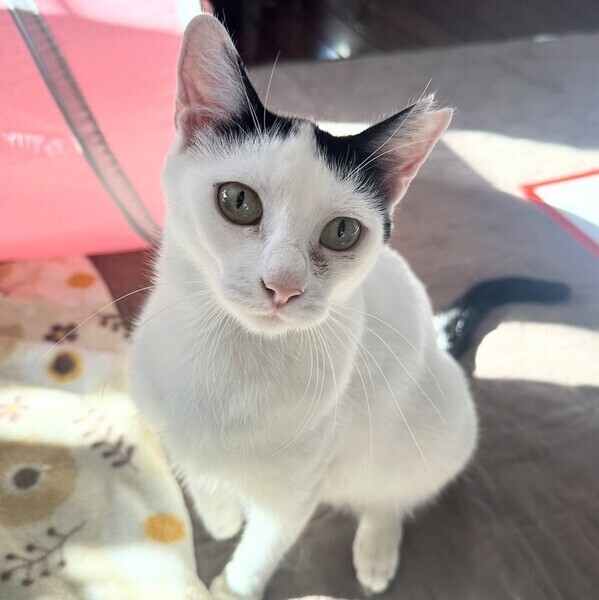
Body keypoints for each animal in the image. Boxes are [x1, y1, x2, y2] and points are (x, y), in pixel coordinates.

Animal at [131, 14, 479, 600]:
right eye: (238, 201)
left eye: (342, 232)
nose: (283, 286)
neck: (232, 358)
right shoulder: (169, 423)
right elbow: (199, 471)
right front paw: (220, 513)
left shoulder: (293, 492)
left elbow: (261, 549)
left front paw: (231, 586)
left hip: (441, 426)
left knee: (393, 492)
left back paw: (377, 549)